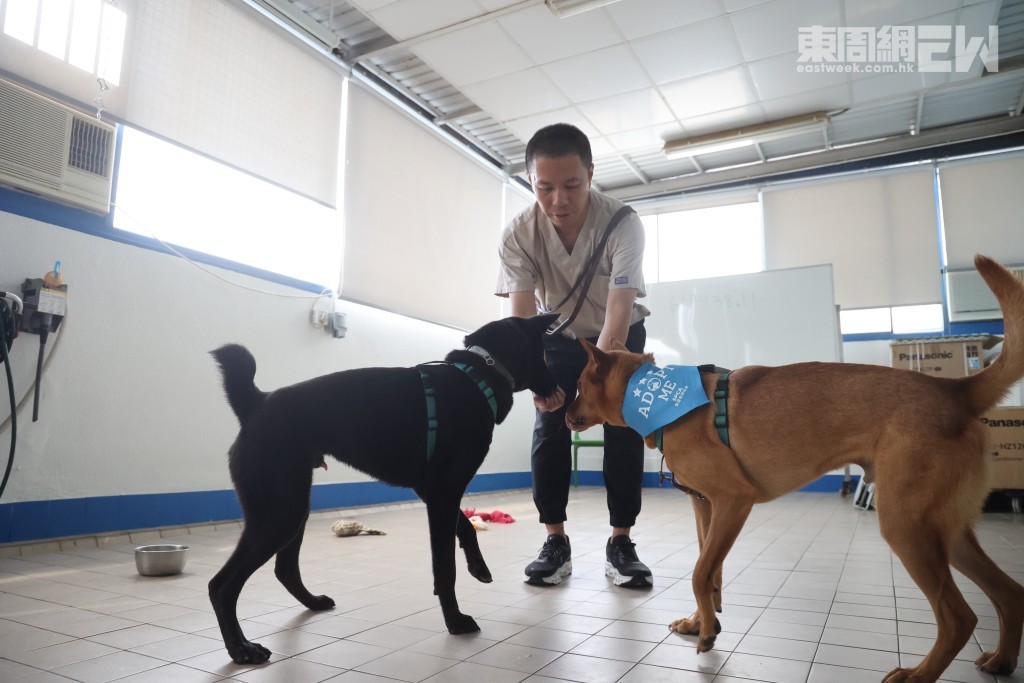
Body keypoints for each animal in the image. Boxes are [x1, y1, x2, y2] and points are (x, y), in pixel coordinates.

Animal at [209, 313, 561, 663]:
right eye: (544, 354)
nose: (559, 389)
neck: (477, 375)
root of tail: (256, 404)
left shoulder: (433, 492)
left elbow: (465, 526)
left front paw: (477, 565)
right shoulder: (442, 494)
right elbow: (445, 567)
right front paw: (455, 620)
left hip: (293, 506)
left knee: (284, 569)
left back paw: (311, 603)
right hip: (280, 513)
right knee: (221, 585)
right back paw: (241, 648)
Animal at [569, 255, 1024, 683]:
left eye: (578, 385)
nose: (562, 413)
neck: (652, 395)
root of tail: (954, 390)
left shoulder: (733, 501)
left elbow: (700, 573)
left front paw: (707, 631)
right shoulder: (706, 507)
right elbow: (711, 572)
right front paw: (703, 621)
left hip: (906, 525)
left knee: (959, 617)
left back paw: (919, 674)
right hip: (943, 530)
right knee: (1009, 592)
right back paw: (1002, 660)